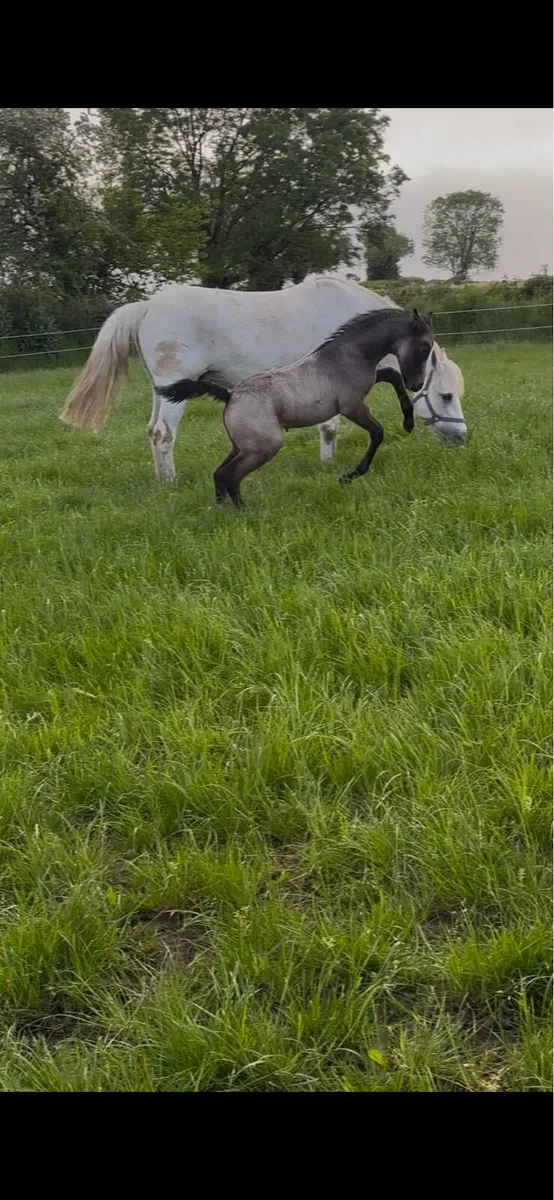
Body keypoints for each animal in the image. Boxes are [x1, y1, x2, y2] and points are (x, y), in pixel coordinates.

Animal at [59, 278, 467, 483]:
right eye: (446, 396)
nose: (461, 437)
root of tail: (146, 306)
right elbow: (329, 427)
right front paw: (328, 465)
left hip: (165, 391)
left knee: (151, 431)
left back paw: (161, 480)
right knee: (163, 434)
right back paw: (172, 483)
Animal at [204, 307, 435, 507]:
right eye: (425, 348)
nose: (416, 384)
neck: (351, 353)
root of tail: (230, 395)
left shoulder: (370, 383)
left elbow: (392, 375)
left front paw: (408, 422)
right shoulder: (352, 407)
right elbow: (378, 433)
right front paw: (349, 476)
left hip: (240, 447)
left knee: (219, 473)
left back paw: (220, 509)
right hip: (264, 447)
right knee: (230, 475)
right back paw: (243, 511)